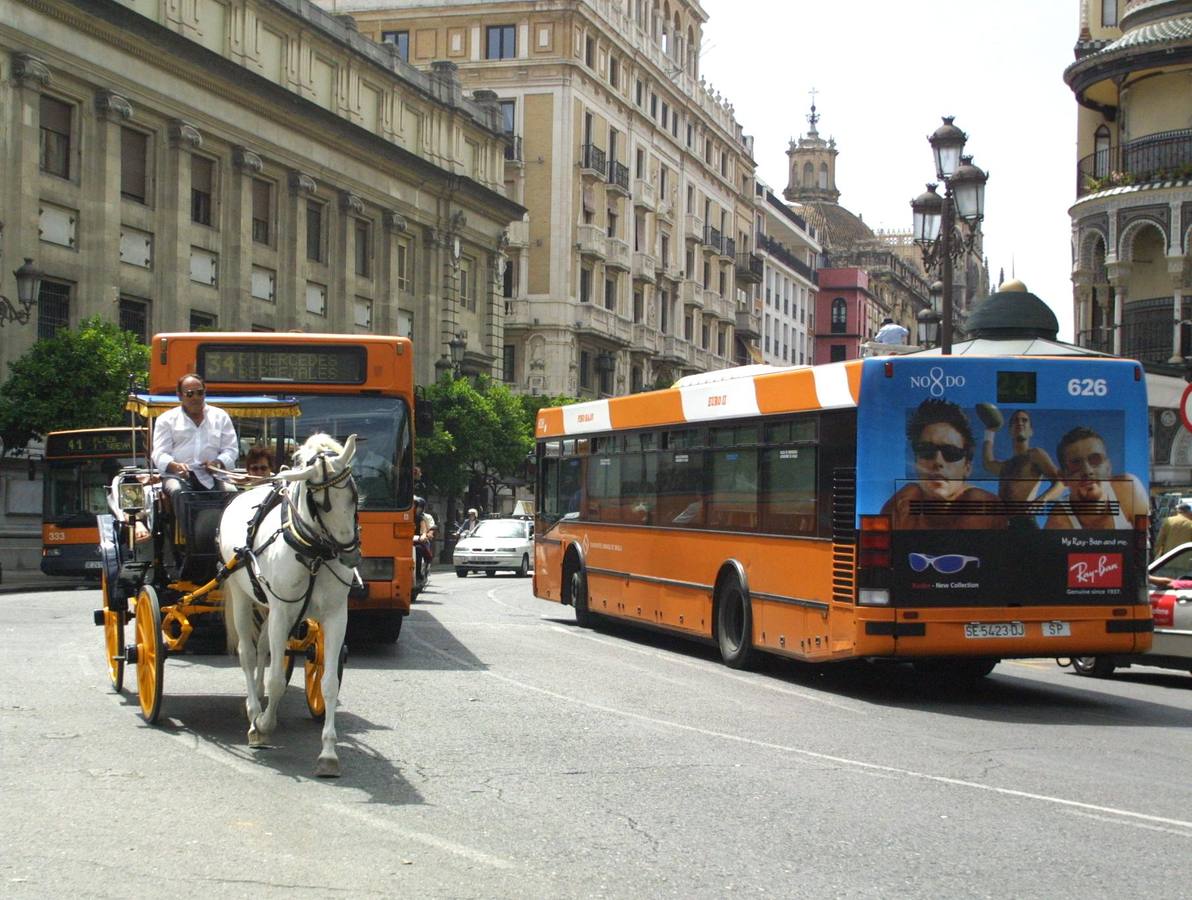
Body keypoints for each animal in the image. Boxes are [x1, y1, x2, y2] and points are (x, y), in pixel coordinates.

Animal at [219, 433, 357, 777]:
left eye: (353, 495)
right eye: (319, 504)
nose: (350, 555)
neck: (314, 551)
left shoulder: (336, 616)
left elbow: (329, 682)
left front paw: (328, 754)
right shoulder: (282, 613)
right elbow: (278, 680)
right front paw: (264, 726)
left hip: (270, 607)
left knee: (263, 650)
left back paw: (259, 702)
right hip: (241, 594)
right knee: (247, 653)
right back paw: (254, 714)